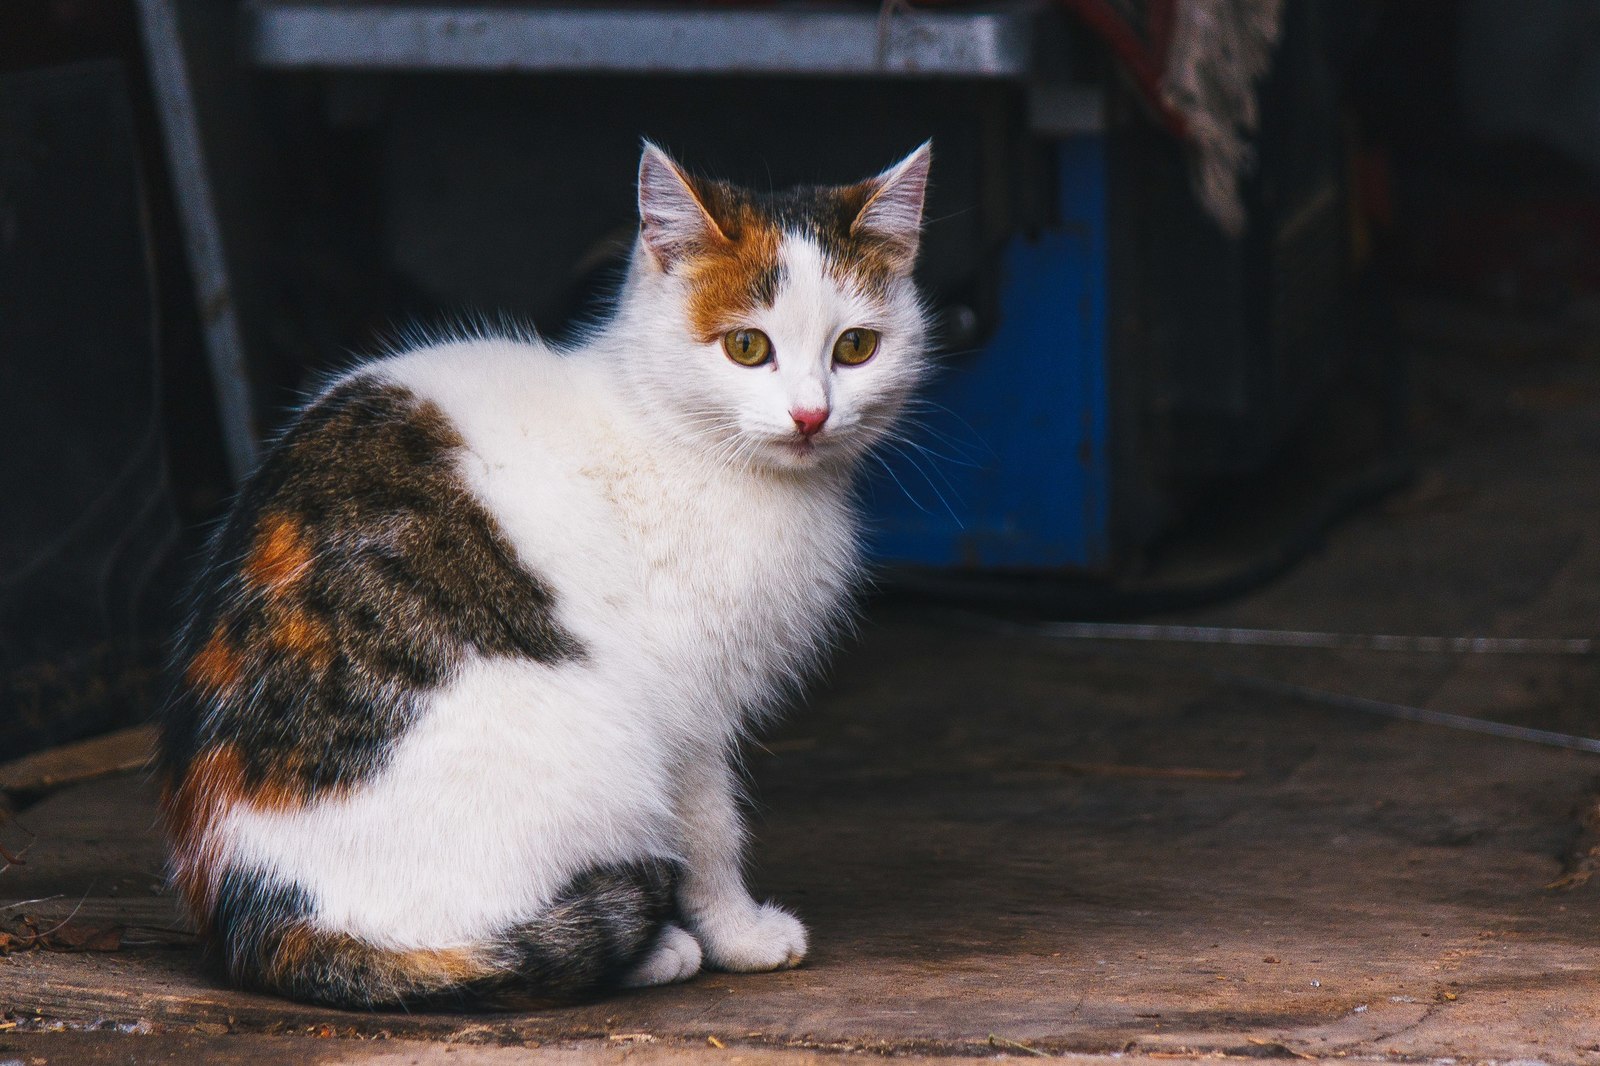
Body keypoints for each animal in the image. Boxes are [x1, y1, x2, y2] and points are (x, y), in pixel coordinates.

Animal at [156, 140, 934, 1005]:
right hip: (597, 747)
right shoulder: (689, 709)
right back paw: (650, 948)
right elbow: (709, 830)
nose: (810, 415)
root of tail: (247, 906)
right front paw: (739, 933)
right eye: (747, 348)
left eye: (856, 348)